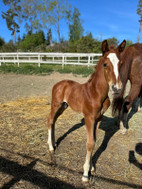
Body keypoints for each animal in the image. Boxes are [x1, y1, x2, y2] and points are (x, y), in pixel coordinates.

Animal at [47, 39, 125, 182]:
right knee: (50, 120)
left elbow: (95, 140)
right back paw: (50, 147)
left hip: (63, 106)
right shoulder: (89, 118)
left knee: (53, 121)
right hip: (55, 105)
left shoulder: (98, 119)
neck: (96, 93)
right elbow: (90, 143)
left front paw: (92, 167)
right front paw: (85, 173)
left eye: (120, 63)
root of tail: (58, 83)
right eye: (105, 64)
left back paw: (54, 144)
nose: (116, 87)